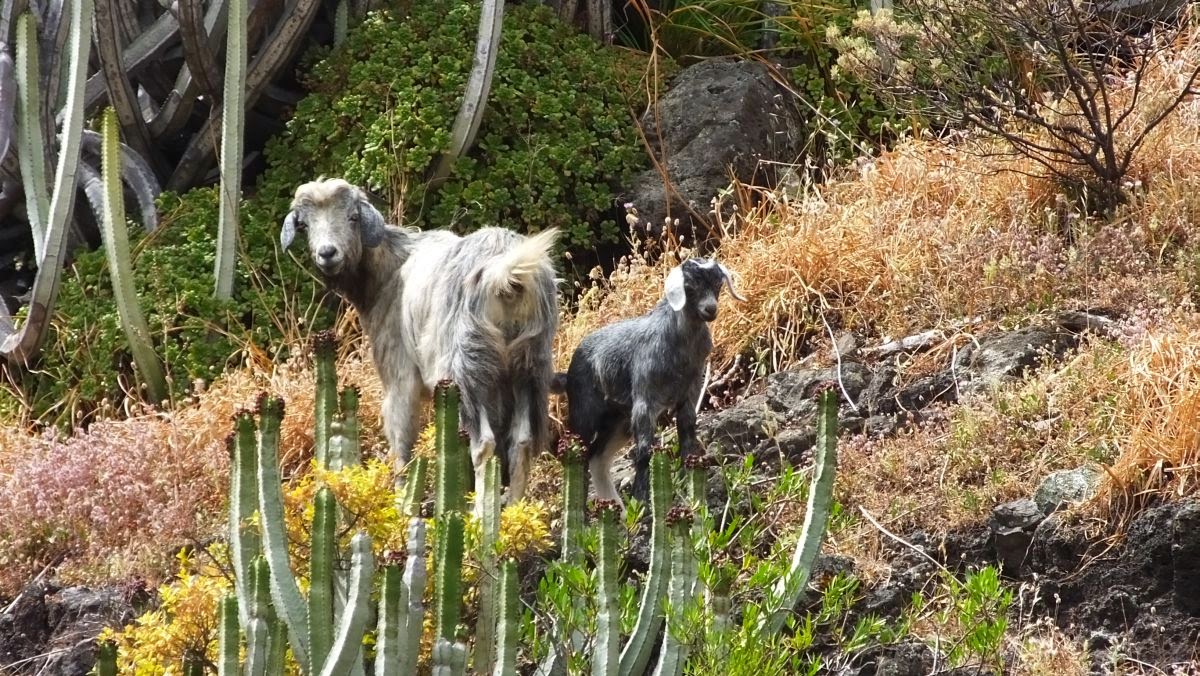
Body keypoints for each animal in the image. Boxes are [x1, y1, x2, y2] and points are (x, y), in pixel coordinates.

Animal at [282, 177, 561, 516]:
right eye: (305, 224)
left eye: (353, 217)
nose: (327, 253)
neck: (389, 271)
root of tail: (507, 277)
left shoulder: (399, 374)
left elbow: (401, 440)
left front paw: (402, 505)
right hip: (528, 365)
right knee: (521, 442)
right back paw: (513, 513)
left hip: (468, 365)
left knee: (484, 444)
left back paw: (481, 516)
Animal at [552, 258, 739, 509]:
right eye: (690, 285)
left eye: (718, 283)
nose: (710, 309)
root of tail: (568, 374)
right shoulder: (645, 401)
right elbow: (643, 452)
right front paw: (641, 499)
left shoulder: (688, 396)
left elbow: (687, 439)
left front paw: (687, 484)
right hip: (585, 412)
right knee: (578, 457)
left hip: (618, 420)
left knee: (597, 459)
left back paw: (618, 509)